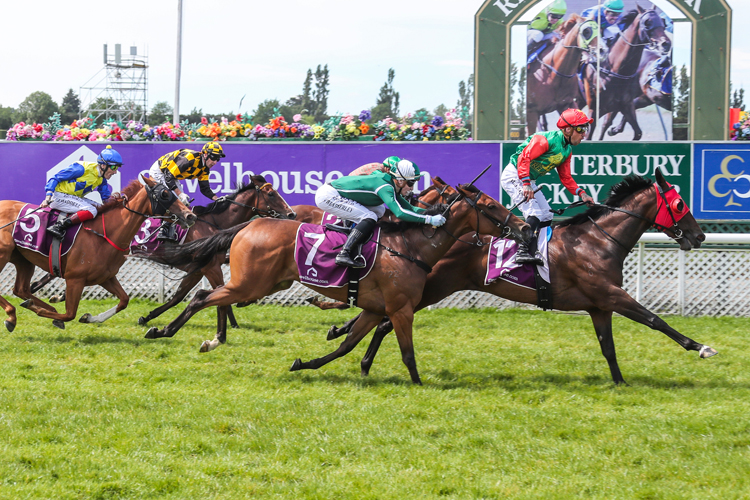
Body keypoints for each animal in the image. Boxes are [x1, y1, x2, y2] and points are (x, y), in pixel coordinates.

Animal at [0, 176, 197, 332]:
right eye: (164, 194)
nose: (190, 216)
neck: (104, 235)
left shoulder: (105, 277)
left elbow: (124, 300)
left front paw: (89, 318)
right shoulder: (75, 279)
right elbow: (69, 314)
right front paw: (44, 311)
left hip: (23, 259)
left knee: (21, 289)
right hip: (4, 254)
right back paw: (12, 315)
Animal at [144, 182, 532, 384]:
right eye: (491, 207)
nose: (525, 226)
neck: (409, 247)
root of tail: (250, 224)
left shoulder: (375, 310)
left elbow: (346, 345)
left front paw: (304, 363)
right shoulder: (401, 309)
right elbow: (407, 353)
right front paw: (420, 384)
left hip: (261, 284)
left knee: (205, 294)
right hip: (249, 284)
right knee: (201, 297)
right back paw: (166, 330)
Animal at [324, 170, 716, 384]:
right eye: (679, 204)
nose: (699, 236)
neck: (598, 239)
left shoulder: (599, 305)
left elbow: (608, 347)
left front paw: (620, 382)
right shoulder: (610, 294)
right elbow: (655, 320)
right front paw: (700, 346)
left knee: (382, 321)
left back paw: (359, 357)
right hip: (428, 288)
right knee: (385, 322)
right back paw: (361, 358)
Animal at [584, 5, 672, 141]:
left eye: (663, 22)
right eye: (647, 23)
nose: (666, 44)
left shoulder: (625, 104)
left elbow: (638, 133)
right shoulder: (595, 107)